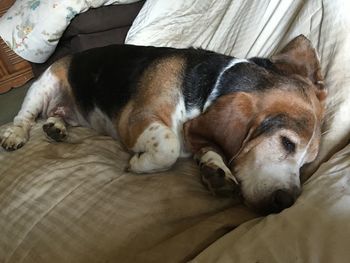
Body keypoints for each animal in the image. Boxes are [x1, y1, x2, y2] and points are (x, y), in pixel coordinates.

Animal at [0, 35, 326, 214]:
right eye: (287, 143)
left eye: (307, 162)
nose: (287, 202)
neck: (207, 86)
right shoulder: (135, 120)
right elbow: (169, 144)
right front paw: (138, 164)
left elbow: (207, 148)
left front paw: (216, 168)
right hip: (43, 86)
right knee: (24, 117)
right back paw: (16, 134)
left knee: (57, 116)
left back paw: (56, 126)